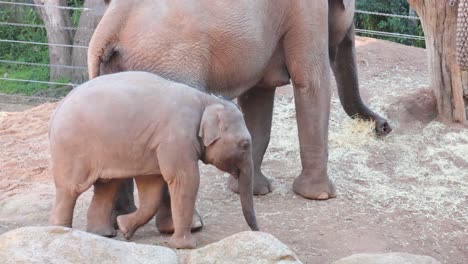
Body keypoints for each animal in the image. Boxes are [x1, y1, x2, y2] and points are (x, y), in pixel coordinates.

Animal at [48, 71, 260, 249]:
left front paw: (124, 228)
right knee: (70, 189)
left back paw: (103, 235)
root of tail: (57, 109)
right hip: (71, 149)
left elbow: (152, 189)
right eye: (244, 145)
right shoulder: (177, 138)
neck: (205, 100)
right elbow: (185, 180)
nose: (258, 230)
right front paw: (185, 246)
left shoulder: (153, 147)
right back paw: (62, 232)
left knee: (106, 187)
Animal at [85, 0, 392, 235]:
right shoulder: (306, 12)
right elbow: (311, 83)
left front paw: (254, 190)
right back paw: (187, 226)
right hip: (168, 65)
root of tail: (108, 32)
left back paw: (118, 222)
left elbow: (258, 97)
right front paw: (321, 195)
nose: (385, 127)